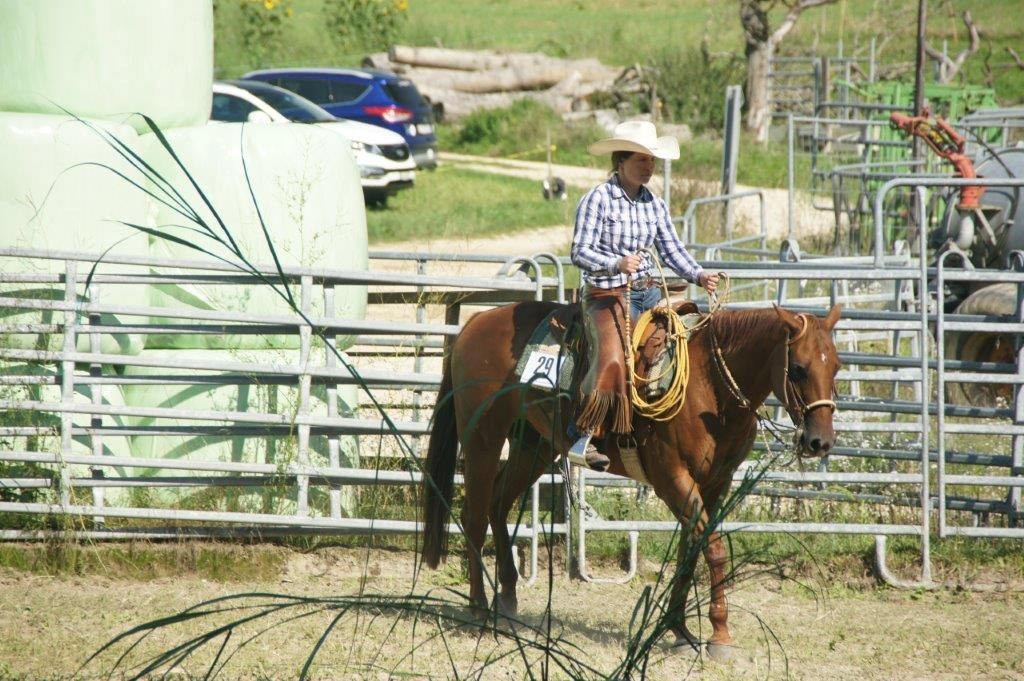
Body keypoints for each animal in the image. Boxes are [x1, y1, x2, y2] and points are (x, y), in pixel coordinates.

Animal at [420, 299, 842, 656]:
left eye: (836, 366)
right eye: (799, 368)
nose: (819, 441)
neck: (709, 388)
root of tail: (477, 321)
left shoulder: (715, 484)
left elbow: (693, 549)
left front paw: (679, 630)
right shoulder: (673, 479)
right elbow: (714, 549)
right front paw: (720, 635)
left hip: (532, 446)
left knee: (498, 504)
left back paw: (506, 600)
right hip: (483, 439)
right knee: (475, 517)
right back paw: (478, 609)